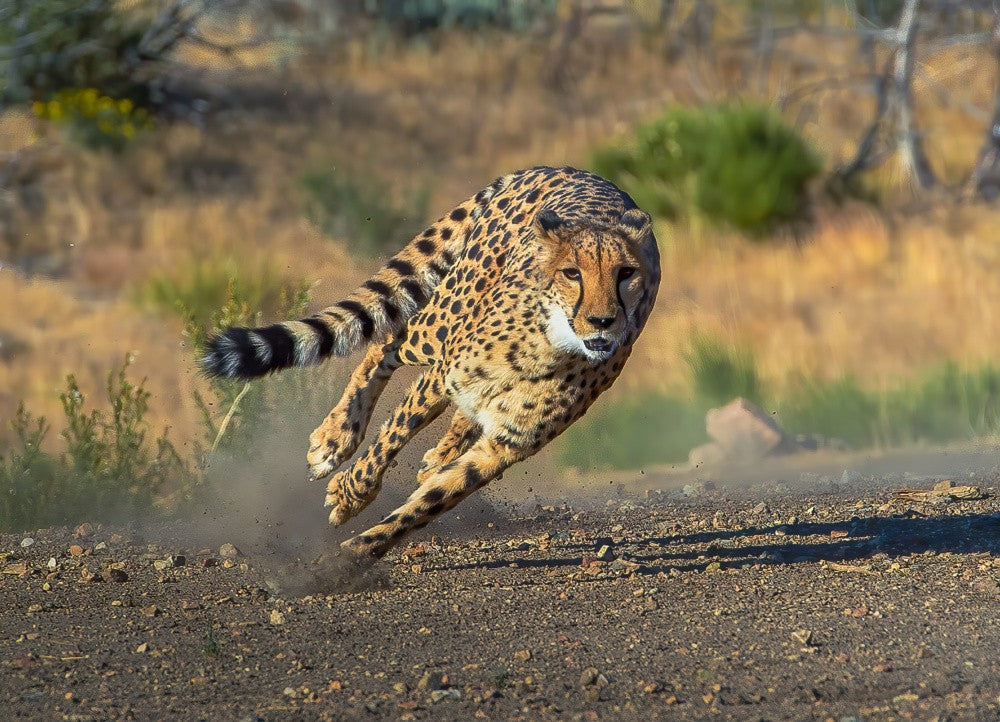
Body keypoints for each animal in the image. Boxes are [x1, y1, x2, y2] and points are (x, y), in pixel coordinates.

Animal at [202, 166, 660, 569]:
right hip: (437, 327)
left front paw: (353, 555)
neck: (551, 347)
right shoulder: (443, 374)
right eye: (571, 273)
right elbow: (392, 435)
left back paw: (437, 455)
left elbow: (426, 506)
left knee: (454, 415)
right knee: (386, 345)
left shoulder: (504, 448)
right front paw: (352, 494)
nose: (603, 321)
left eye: (626, 273)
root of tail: (566, 169)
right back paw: (336, 438)